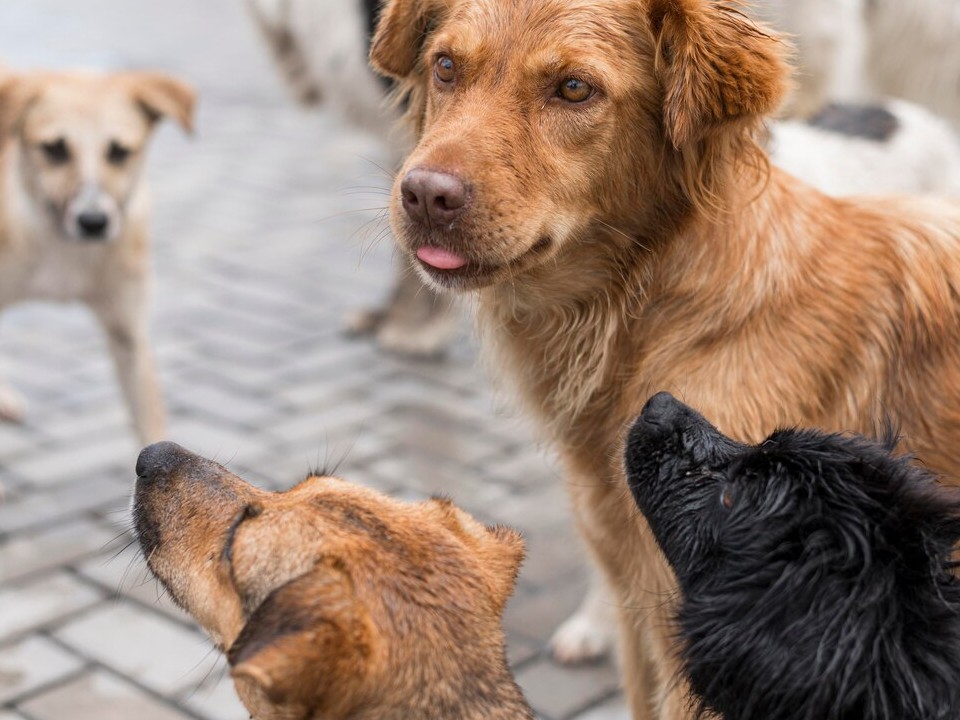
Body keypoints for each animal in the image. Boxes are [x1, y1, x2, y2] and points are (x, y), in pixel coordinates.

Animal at [0, 71, 195, 444]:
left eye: (119, 152)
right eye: (54, 149)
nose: (93, 222)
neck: (61, 246)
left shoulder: (128, 331)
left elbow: (151, 427)